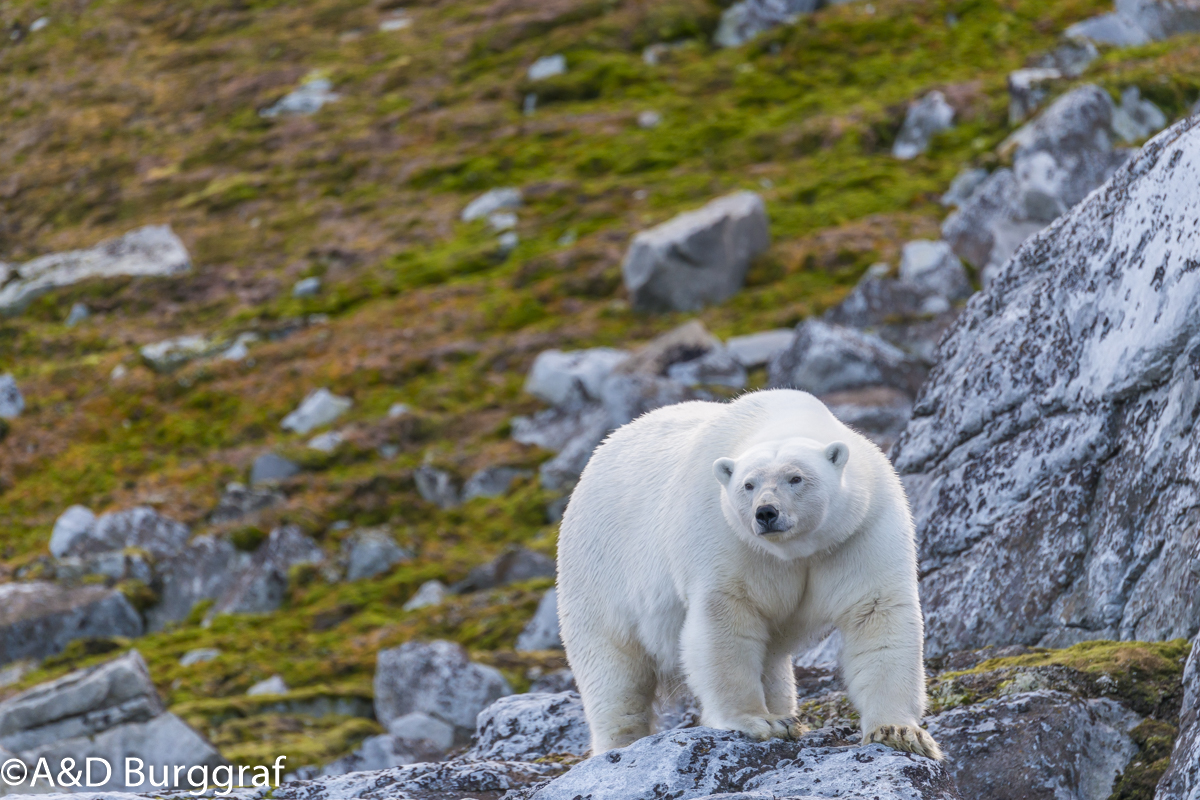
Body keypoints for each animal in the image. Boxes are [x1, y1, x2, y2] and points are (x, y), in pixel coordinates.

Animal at [556, 391, 940, 762]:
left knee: (772, 661)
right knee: (613, 670)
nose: (766, 513)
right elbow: (726, 617)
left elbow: (876, 612)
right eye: (748, 485)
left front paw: (899, 732)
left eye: (796, 478)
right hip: (597, 572)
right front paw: (759, 721)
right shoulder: (725, 533)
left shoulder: (860, 529)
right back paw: (620, 742)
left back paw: (788, 714)